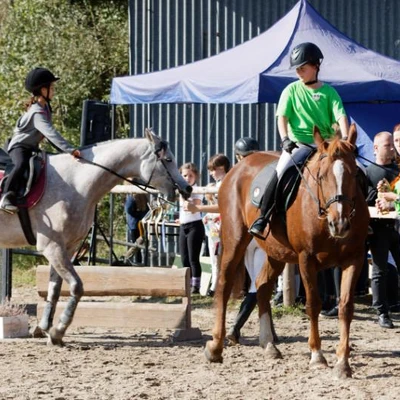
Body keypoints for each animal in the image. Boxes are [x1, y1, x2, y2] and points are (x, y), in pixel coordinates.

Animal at [1, 130, 192, 346]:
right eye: (168, 160)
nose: (187, 189)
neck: (75, 182)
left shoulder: (66, 247)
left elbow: (55, 289)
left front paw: (45, 328)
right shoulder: (52, 246)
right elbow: (77, 287)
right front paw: (59, 330)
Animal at [206, 125, 368, 378]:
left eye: (354, 175)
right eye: (321, 177)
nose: (339, 224)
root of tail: (238, 168)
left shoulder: (355, 258)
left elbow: (346, 307)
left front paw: (343, 363)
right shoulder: (306, 258)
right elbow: (313, 304)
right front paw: (317, 356)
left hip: (276, 252)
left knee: (262, 286)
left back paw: (269, 345)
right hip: (235, 239)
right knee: (223, 283)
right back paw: (215, 347)